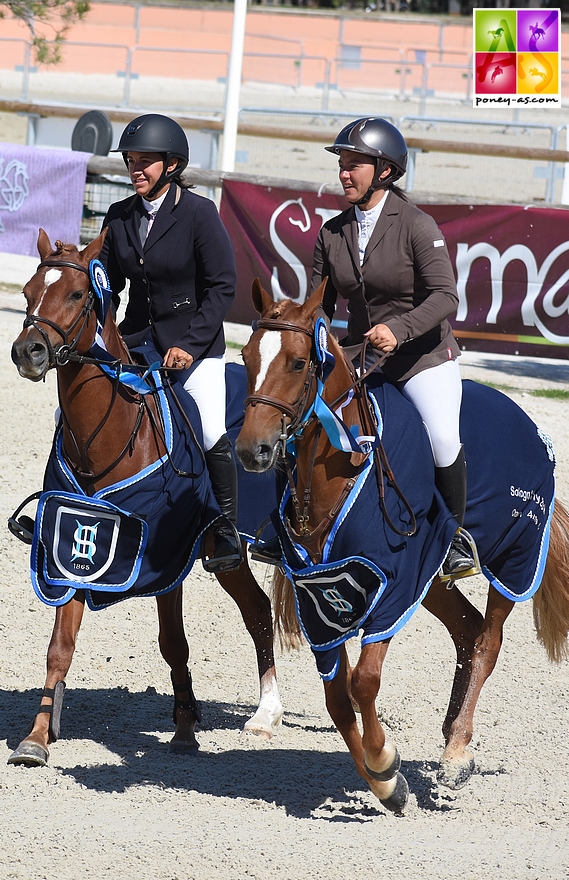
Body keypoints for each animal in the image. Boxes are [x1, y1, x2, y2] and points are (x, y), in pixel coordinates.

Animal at [7, 230, 282, 768]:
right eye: (27, 292)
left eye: (77, 294)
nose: (28, 351)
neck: (110, 435)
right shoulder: (73, 545)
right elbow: (59, 646)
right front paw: (37, 737)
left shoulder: (166, 559)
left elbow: (173, 643)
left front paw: (185, 730)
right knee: (258, 610)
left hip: (225, 548)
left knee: (257, 610)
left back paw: (266, 713)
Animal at [234, 278, 568, 816]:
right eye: (245, 356)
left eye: (299, 362)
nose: (252, 450)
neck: (340, 464)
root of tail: (531, 425)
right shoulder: (320, 598)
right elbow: (336, 698)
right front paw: (384, 782)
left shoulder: (393, 585)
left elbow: (363, 682)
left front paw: (385, 762)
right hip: (433, 580)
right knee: (467, 632)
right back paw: (450, 734)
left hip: (512, 559)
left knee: (488, 641)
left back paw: (457, 752)